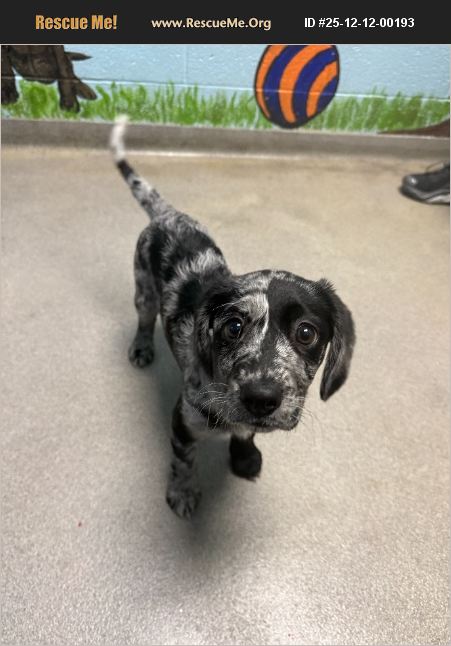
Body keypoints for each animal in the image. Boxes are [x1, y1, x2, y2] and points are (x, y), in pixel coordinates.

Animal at [110, 117, 355, 519]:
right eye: (233, 327)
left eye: (306, 333)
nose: (262, 398)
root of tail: (166, 215)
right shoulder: (183, 421)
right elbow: (183, 462)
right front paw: (182, 492)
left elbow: (246, 432)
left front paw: (243, 457)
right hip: (143, 288)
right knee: (144, 319)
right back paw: (142, 347)